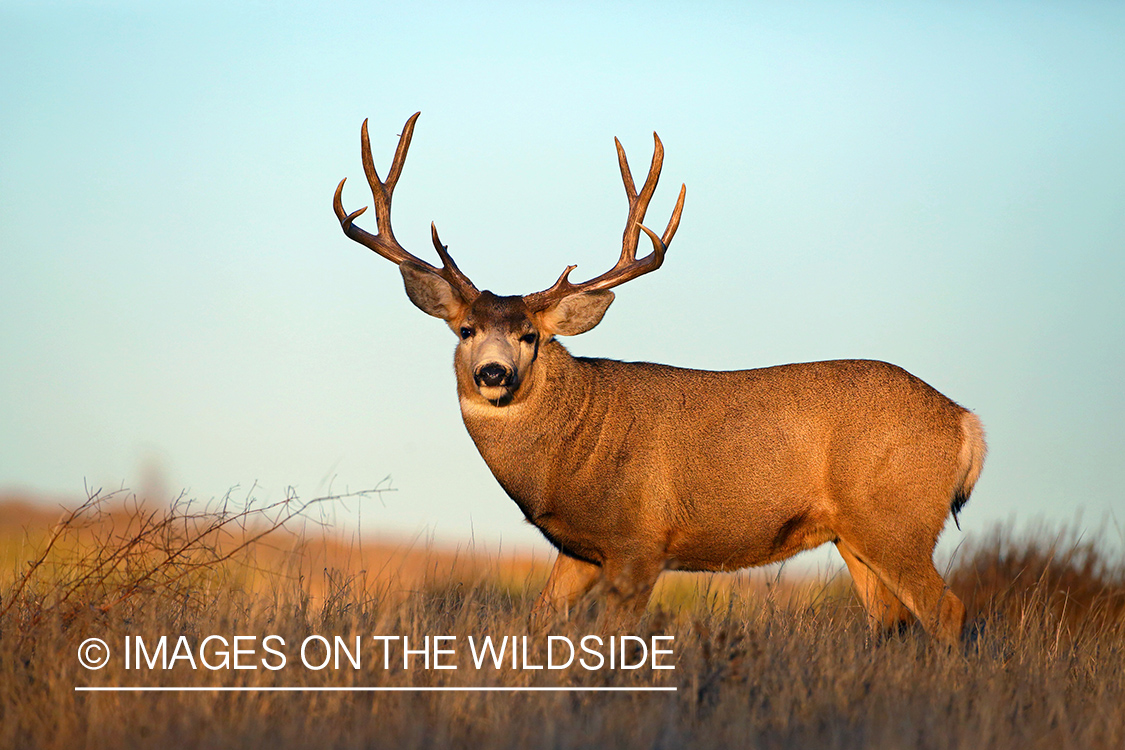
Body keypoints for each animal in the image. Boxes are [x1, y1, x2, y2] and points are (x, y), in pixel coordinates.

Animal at [330, 111, 985, 647]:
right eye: (465, 329)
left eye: (530, 336)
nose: (494, 372)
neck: (571, 453)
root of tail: (965, 423)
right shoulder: (580, 550)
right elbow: (539, 623)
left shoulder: (640, 543)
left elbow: (613, 642)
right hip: (855, 535)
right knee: (892, 621)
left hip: (896, 520)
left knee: (948, 613)